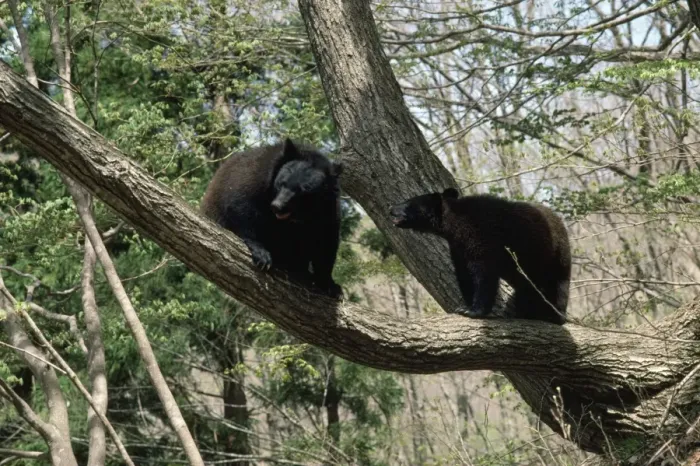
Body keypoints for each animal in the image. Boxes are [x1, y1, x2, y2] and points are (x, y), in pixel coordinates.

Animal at [201, 139, 343, 297]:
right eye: (282, 183)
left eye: (303, 191)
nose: (277, 206)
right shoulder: (257, 180)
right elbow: (241, 207)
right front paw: (262, 255)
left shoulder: (327, 212)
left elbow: (325, 242)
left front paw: (330, 284)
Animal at [389, 188, 571, 324]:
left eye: (408, 203)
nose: (391, 208)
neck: (455, 226)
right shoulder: (458, 247)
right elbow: (463, 273)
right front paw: (465, 305)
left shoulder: (483, 237)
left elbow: (483, 273)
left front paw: (474, 311)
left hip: (555, 257)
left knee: (559, 286)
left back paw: (555, 315)